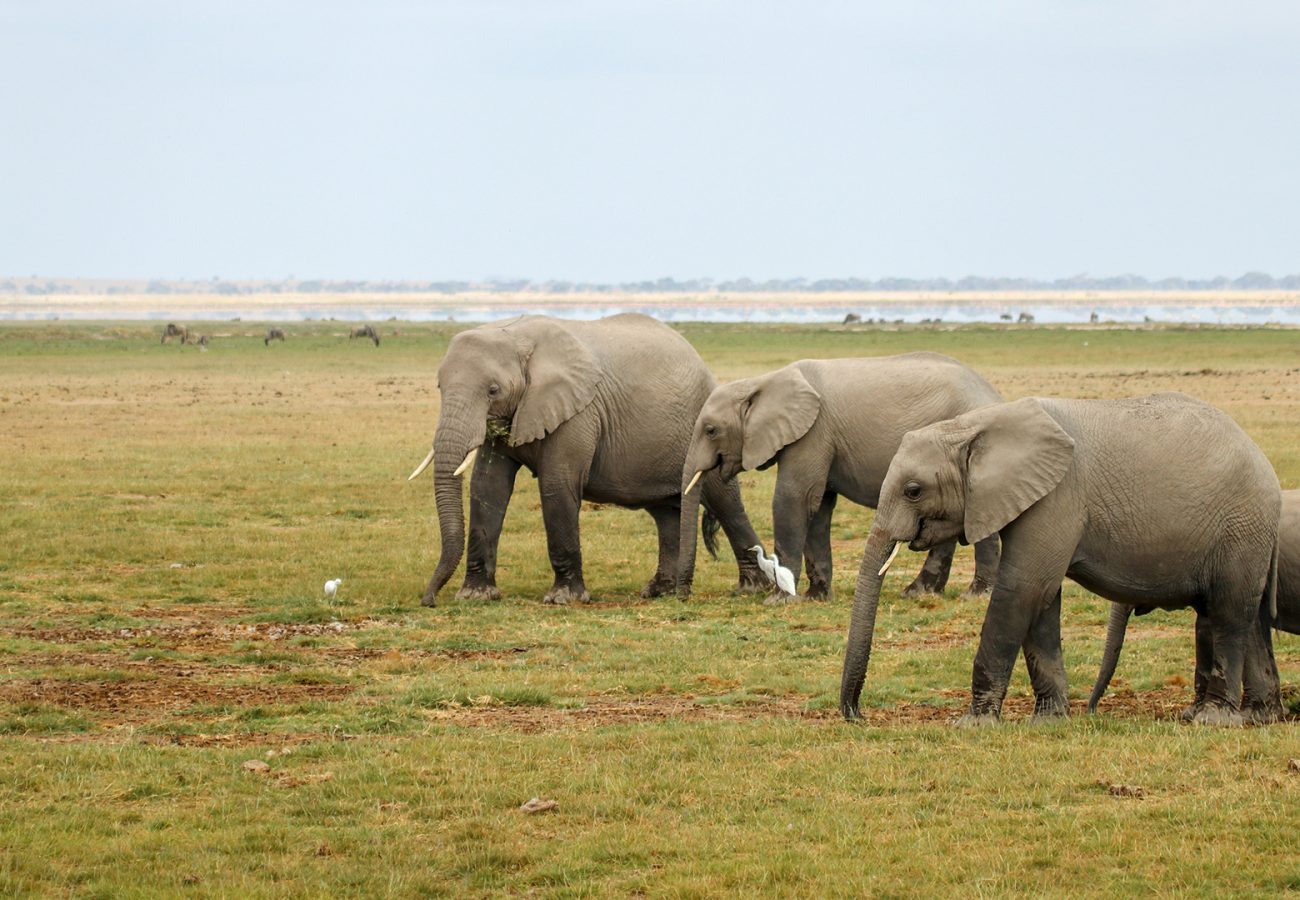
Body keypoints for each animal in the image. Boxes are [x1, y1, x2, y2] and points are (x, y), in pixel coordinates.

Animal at [410, 313, 764, 608]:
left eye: (493, 390)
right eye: (439, 386)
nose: (429, 600)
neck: (514, 334)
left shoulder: (578, 413)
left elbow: (557, 486)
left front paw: (563, 599)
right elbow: (488, 489)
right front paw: (475, 596)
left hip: (707, 431)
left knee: (725, 503)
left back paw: (752, 589)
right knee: (666, 513)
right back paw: (660, 591)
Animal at [676, 356, 998, 600]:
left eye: (710, 430)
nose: (683, 595)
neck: (761, 382)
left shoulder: (813, 434)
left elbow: (794, 499)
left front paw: (779, 599)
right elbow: (818, 507)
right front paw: (816, 598)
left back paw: (974, 595)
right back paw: (919, 593)